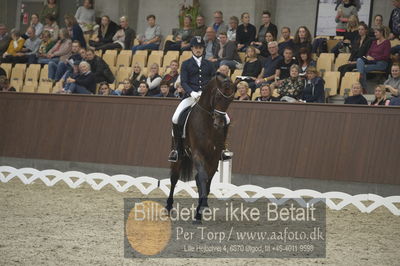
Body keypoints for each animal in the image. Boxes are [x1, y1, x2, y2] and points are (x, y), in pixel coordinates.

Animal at [166, 72, 238, 222]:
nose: (219, 124)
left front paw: (201, 210)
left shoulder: (214, 157)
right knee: (174, 178)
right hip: (178, 154)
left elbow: (207, 182)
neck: (208, 123)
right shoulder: (197, 153)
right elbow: (202, 178)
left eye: (231, 100)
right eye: (218, 97)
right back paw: (168, 207)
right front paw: (199, 211)